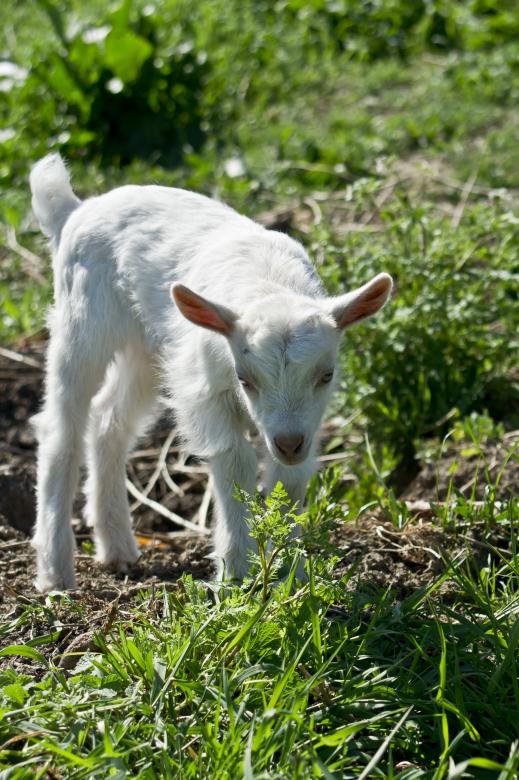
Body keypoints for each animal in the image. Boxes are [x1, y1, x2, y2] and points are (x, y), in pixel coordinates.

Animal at [29, 153, 393, 591]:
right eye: (245, 379)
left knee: (109, 420)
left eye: (326, 375)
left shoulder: (308, 421)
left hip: (143, 347)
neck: (268, 283)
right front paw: (236, 573)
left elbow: (290, 478)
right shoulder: (202, 388)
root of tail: (76, 209)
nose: (288, 443)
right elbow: (234, 460)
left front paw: (294, 575)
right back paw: (55, 572)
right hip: (83, 322)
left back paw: (116, 547)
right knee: (61, 428)